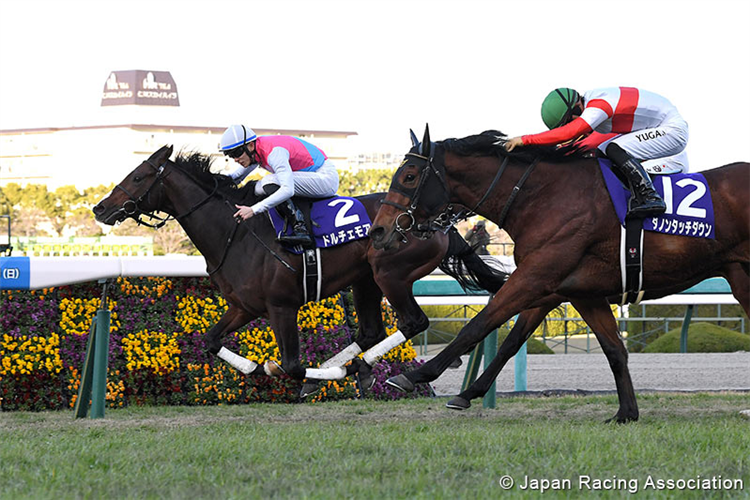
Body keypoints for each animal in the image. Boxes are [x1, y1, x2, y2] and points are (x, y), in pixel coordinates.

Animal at [91, 146, 508, 396]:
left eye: (139, 177)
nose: (100, 208)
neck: (235, 232)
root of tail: (438, 222)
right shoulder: (244, 306)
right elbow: (211, 340)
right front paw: (254, 366)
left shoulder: (282, 306)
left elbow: (291, 365)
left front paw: (282, 370)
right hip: (365, 281)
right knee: (370, 331)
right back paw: (352, 368)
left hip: (390, 274)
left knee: (413, 322)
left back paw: (354, 369)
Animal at [372, 126, 750, 422]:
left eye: (408, 176)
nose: (379, 230)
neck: (541, 196)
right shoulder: (571, 289)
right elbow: (606, 348)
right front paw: (626, 413)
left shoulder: (535, 277)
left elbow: (480, 324)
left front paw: (415, 375)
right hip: (740, 276)